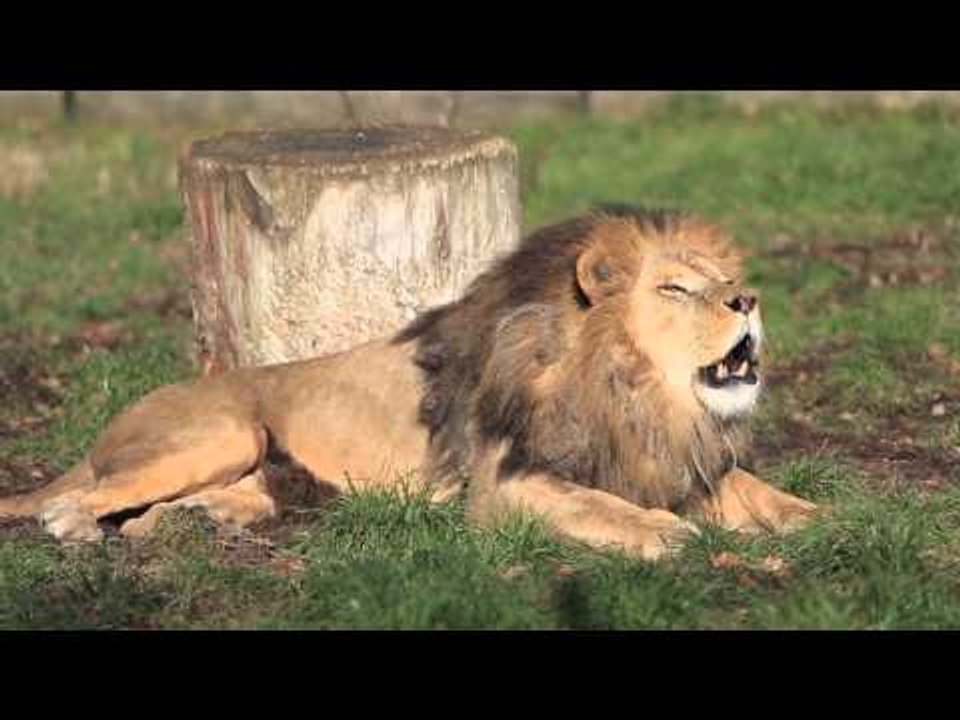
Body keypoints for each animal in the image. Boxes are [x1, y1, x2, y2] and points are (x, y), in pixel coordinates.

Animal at [0, 205, 816, 559]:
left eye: (726, 281)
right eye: (676, 289)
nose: (749, 299)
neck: (636, 393)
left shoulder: (670, 458)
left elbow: (757, 492)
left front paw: (825, 519)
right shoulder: (505, 483)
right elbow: (590, 502)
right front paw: (658, 531)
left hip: (245, 475)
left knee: (156, 513)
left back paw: (198, 521)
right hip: (221, 432)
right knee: (77, 499)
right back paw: (75, 527)